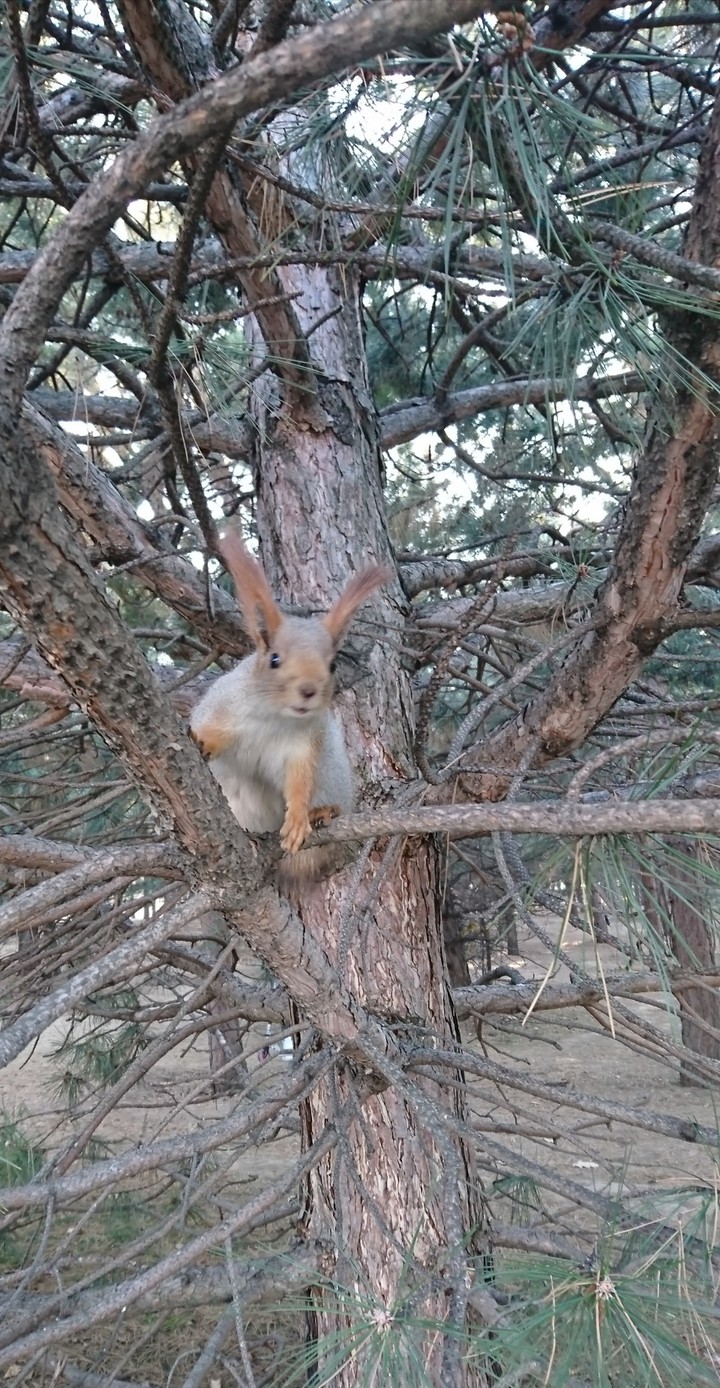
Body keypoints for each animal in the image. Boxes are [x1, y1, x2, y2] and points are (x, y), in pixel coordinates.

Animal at [190, 531, 390, 882]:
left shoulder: (305, 744)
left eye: (333, 664)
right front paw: (204, 742)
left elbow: (300, 779)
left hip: (332, 775)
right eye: (274, 659)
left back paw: (322, 811)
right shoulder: (226, 707)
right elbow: (213, 730)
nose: (308, 690)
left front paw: (298, 817)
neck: (276, 718)